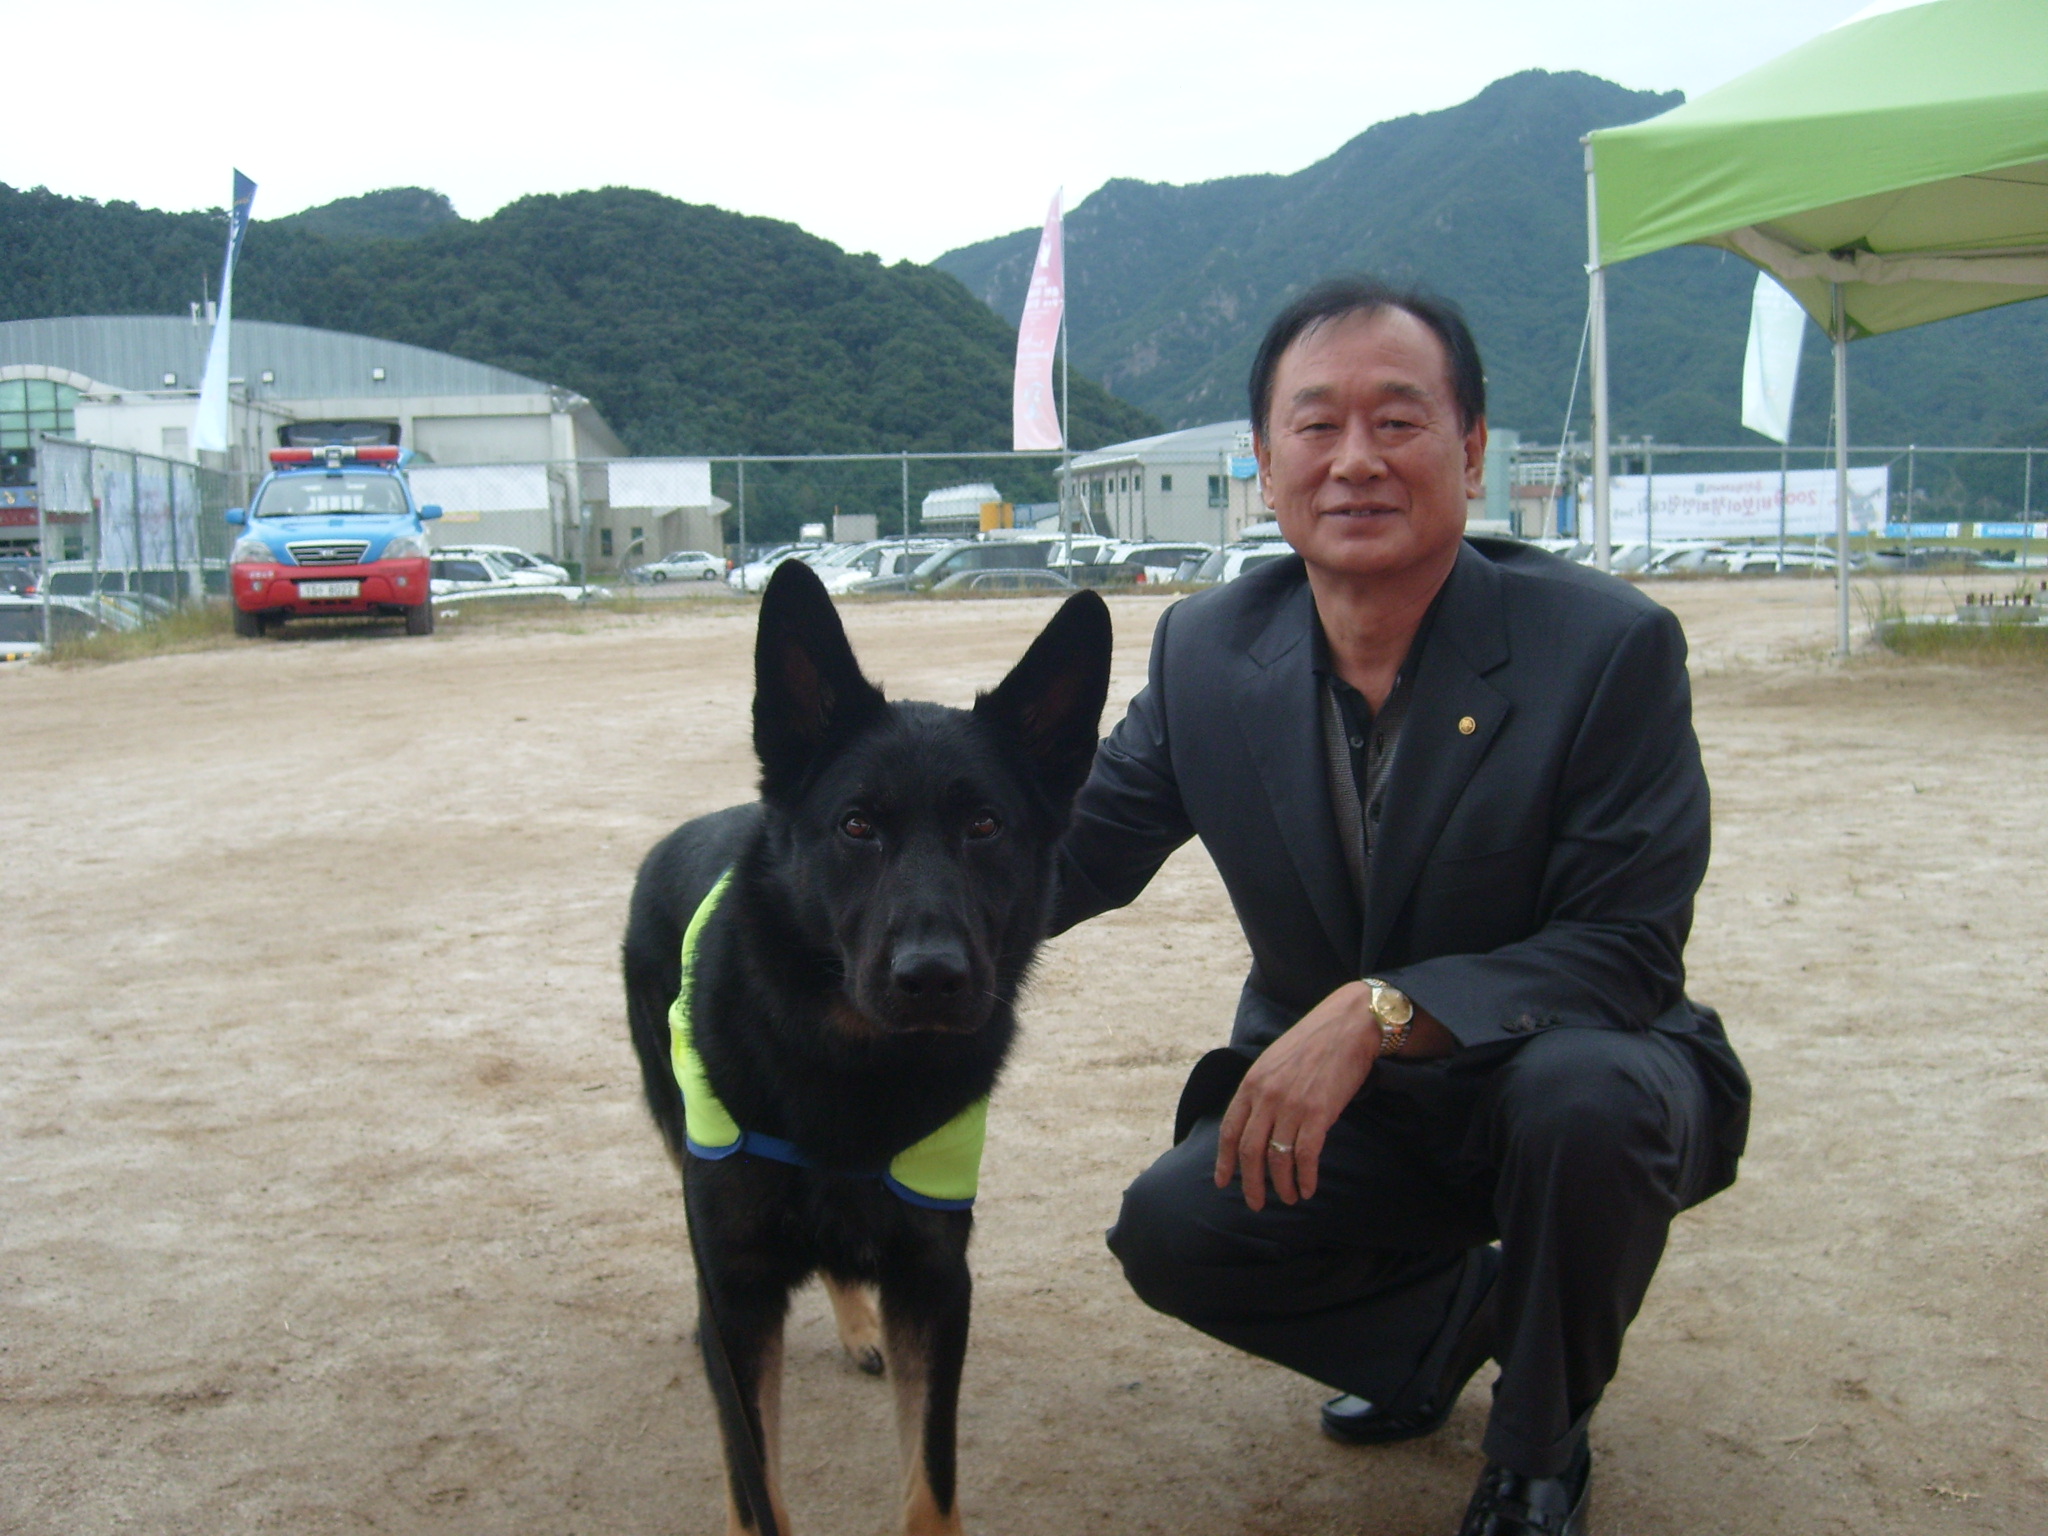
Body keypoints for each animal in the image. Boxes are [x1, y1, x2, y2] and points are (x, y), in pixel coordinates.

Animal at [623, 558, 1112, 1536]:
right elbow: (756, 1491)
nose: (933, 977)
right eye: (857, 825)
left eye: (984, 826)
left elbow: (932, 1485)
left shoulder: (934, 1283)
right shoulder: (736, 1296)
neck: (850, 1068)